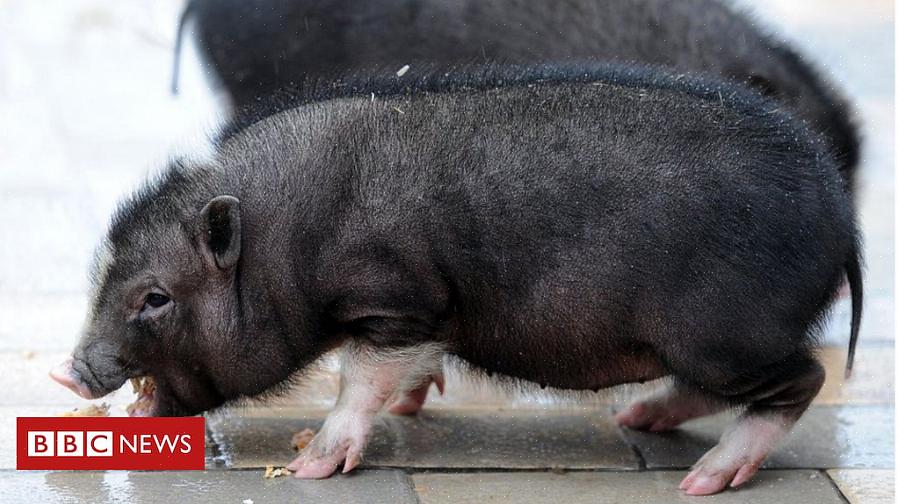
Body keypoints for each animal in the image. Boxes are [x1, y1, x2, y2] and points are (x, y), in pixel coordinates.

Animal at [52, 64, 856, 496]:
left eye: (155, 297)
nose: (69, 371)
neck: (288, 236)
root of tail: (842, 213)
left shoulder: (399, 297)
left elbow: (360, 378)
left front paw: (312, 465)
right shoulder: (423, 317)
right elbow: (402, 371)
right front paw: (412, 405)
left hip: (723, 334)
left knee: (803, 380)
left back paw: (704, 480)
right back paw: (638, 420)